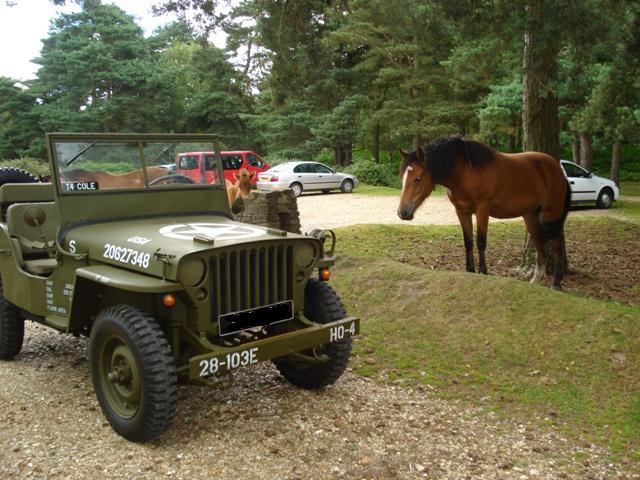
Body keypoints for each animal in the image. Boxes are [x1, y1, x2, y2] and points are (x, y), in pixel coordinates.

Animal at [400, 137, 568, 290]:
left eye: (418, 178)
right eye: (403, 178)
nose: (402, 212)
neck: (465, 172)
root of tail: (556, 167)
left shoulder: (482, 210)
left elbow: (480, 241)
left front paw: (483, 272)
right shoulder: (462, 212)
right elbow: (468, 242)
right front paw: (470, 271)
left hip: (551, 212)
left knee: (556, 242)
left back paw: (556, 283)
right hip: (530, 215)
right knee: (539, 241)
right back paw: (535, 281)